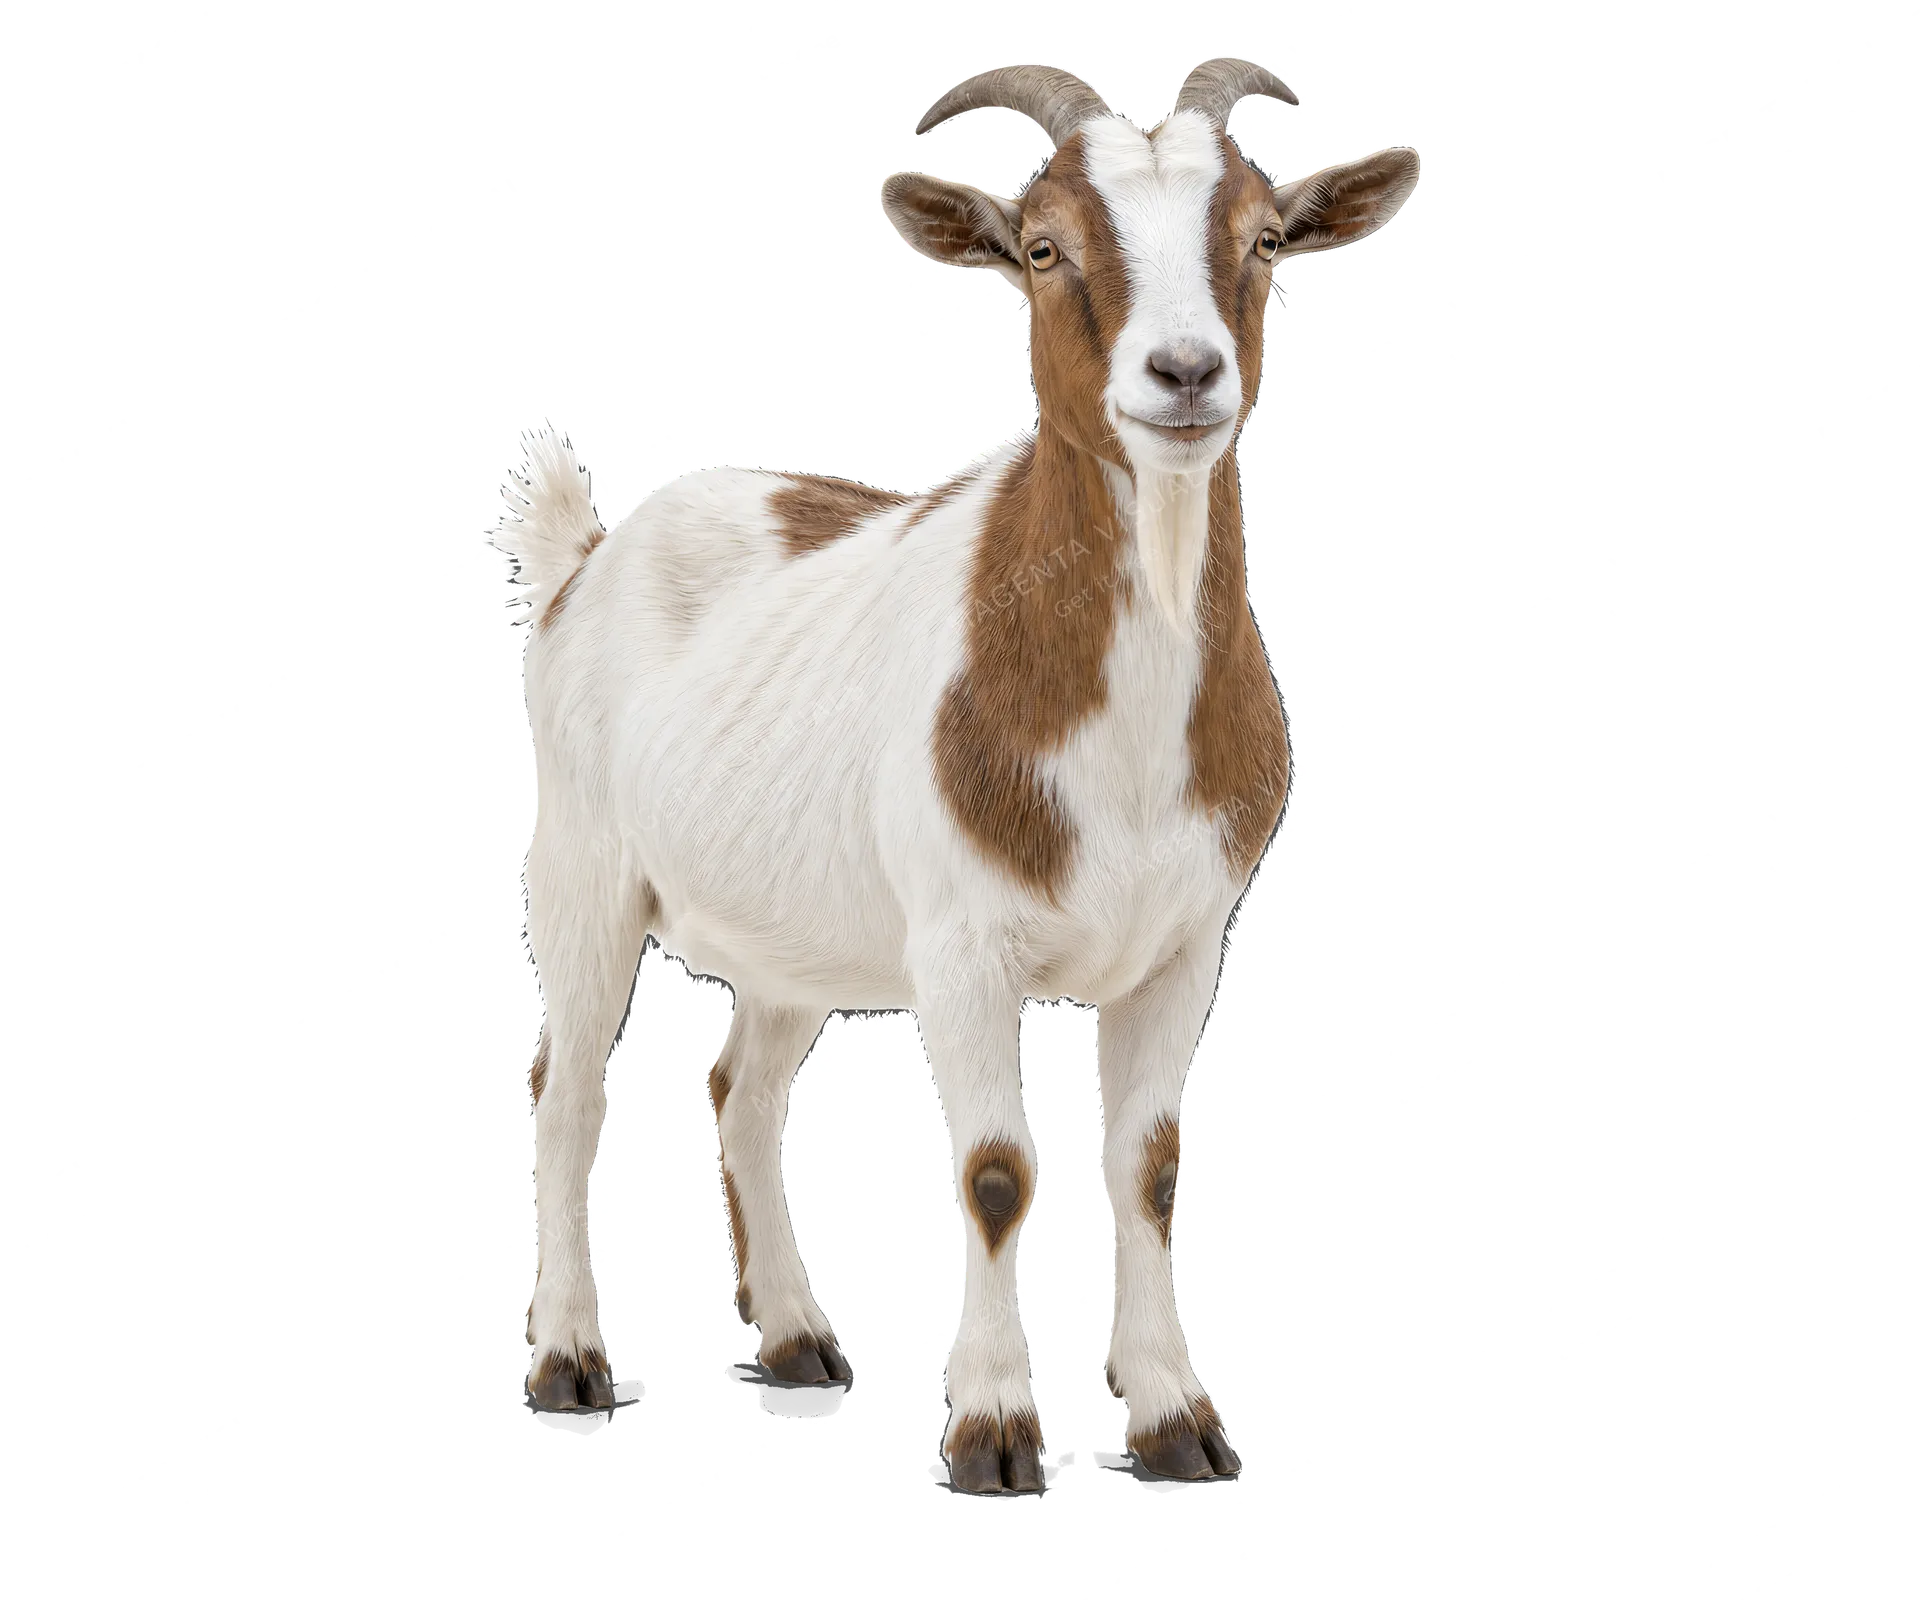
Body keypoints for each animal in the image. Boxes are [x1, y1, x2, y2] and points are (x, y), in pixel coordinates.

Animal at [494, 58, 1419, 1490]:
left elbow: (1147, 1166)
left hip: (797, 923)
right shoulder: (962, 945)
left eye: (1266, 238)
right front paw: (993, 1431)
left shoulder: (1184, 944)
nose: (1185, 371)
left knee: (741, 1088)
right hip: (582, 859)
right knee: (566, 1090)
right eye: (1043, 247)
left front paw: (1173, 1418)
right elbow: (995, 1171)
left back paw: (794, 1338)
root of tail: (586, 557)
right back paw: (565, 1358)